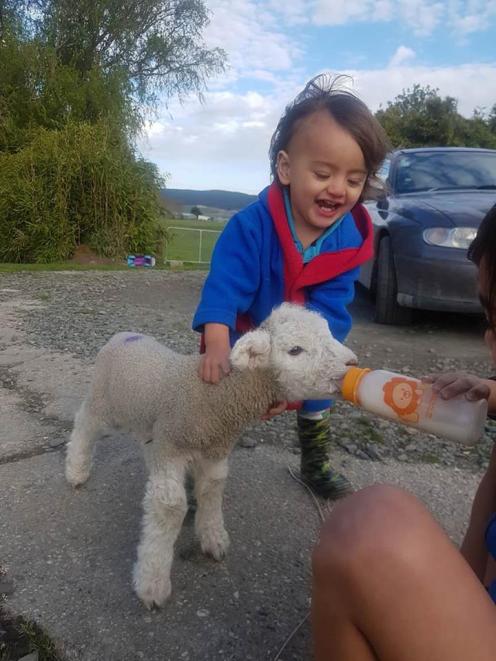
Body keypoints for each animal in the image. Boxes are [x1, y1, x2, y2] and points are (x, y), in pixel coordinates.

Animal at [65, 302, 356, 604]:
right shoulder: (171, 445)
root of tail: (124, 334)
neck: (215, 397)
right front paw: (152, 582)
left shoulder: (214, 449)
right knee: (85, 422)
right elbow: (170, 507)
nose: (352, 364)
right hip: (104, 402)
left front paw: (213, 537)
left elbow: (212, 489)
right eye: (295, 350)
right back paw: (76, 470)